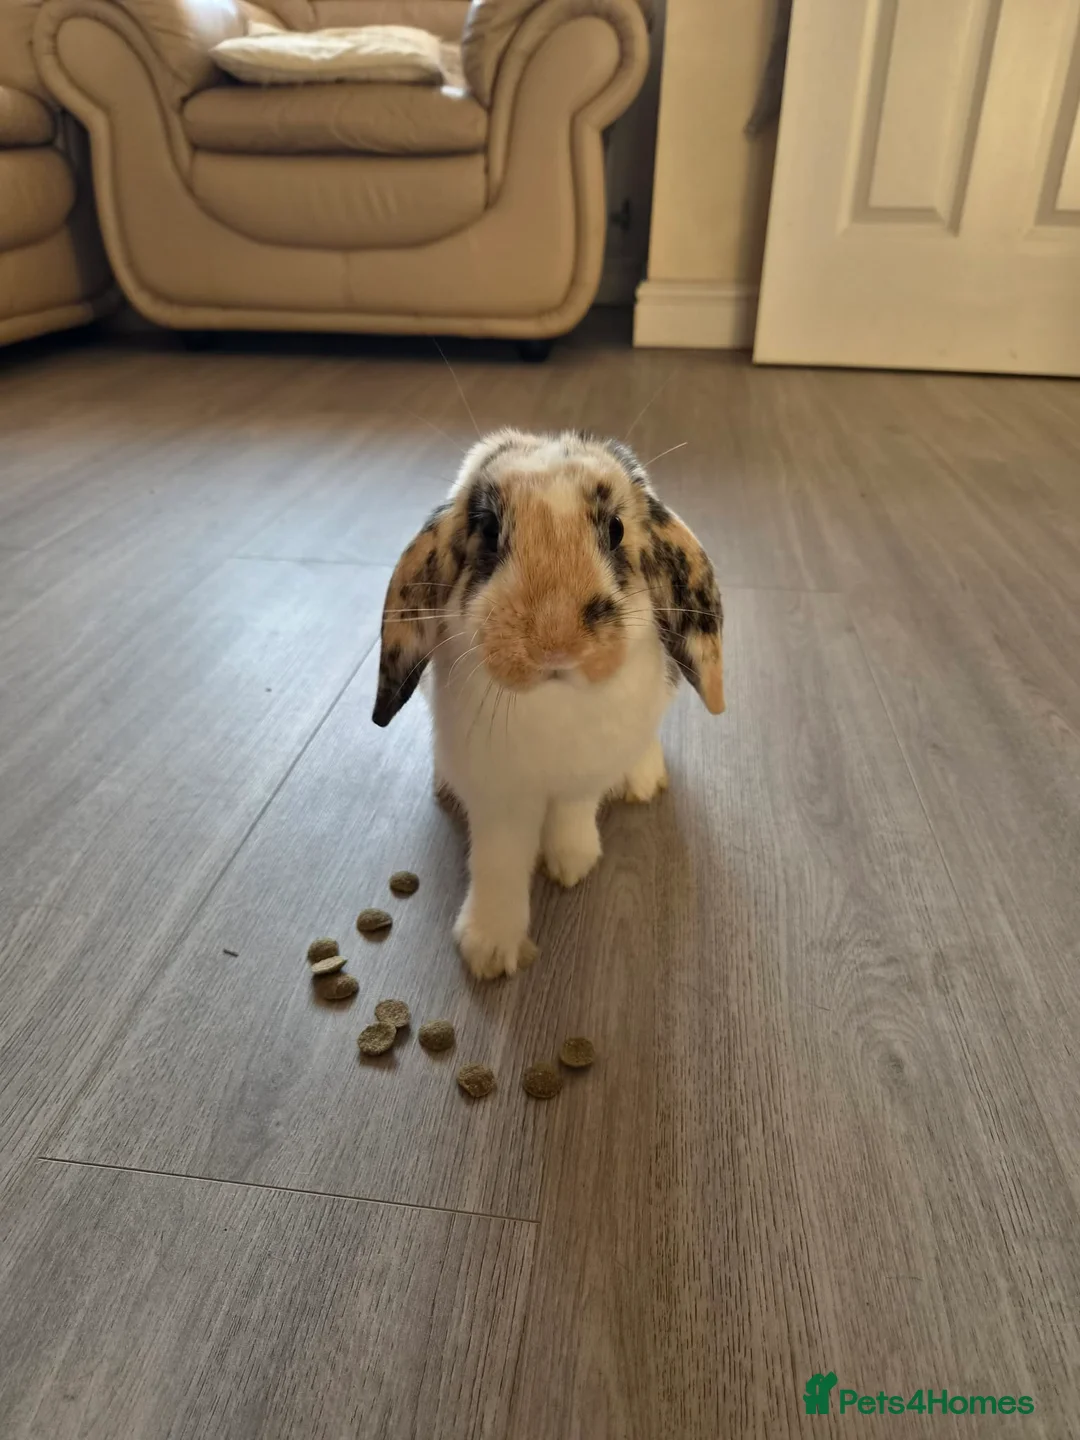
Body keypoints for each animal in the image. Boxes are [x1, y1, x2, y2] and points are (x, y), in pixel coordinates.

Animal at [372, 428, 725, 980]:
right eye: (489, 530)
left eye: (616, 530)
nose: (556, 644)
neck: (553, 700)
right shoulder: (497, 797)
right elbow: (499, 860)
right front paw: (489, 950)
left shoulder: (585, 773)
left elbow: (574, 812)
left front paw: (572, 863)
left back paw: (643, 780)